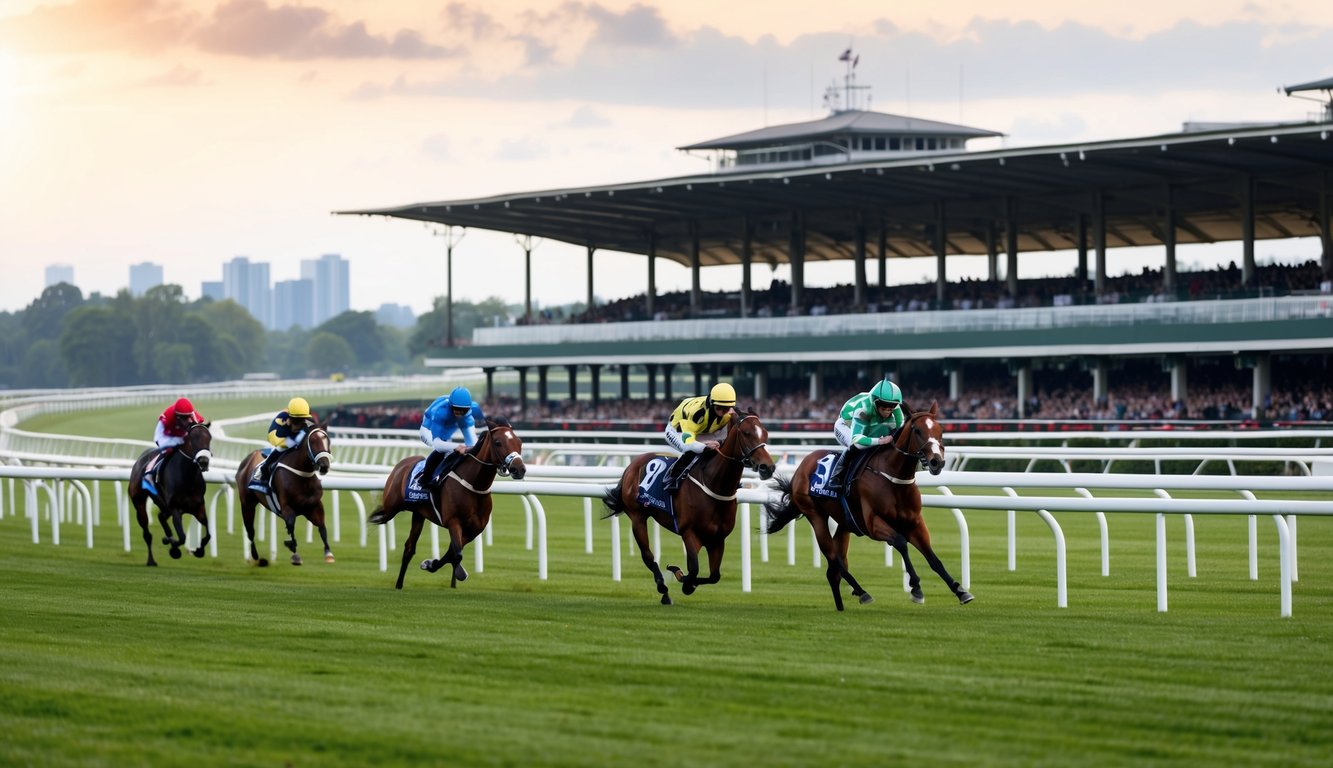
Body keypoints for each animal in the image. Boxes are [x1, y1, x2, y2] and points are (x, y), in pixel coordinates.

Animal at [126, 424, 213, 568]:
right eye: (193, 438)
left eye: (209, 438)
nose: (204, 461)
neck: (187, 479)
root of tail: (140, 459)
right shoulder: (175, 508)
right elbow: (182, 537)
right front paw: (172, 546)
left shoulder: (198, 507)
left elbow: (208, 533)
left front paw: (199, 550)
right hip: (139, 503)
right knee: (147, 533)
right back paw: (151, 560)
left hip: (163, 505)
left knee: (161, 516)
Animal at [234, 424, 330, 568]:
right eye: (312, 441)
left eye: (328, 441)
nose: (324, 466)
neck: (302, 475)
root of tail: (247, 459)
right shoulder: (286, 506)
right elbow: (290, 524)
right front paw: (294, 552)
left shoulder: (314, 506)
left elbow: (322, 527)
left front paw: (328, 553)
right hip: (247, 504)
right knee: (250, 530)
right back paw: (256, 557)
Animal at [373, 416, 527, 592]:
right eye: (498, 442)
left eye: (519, 442)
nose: (519, 469)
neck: (474, 484)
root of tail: (402, 464)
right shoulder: (453, 521)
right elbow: (457, 553)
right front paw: (455, 572)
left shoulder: (474, 530)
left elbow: (451, 552)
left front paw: (432, 565)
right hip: (392, 505)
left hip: (418, 514)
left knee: (409, 547)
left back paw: (399, 584)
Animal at [602, 410, 778, 602]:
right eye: (746, 433)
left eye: (765, 433)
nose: (767, 467)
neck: (713, 483)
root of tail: (632, 465)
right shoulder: (689, 532)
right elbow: (693, 568)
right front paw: (679, 575)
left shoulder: (717, 539)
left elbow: (714, 576)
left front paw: (687, 583)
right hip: (637, 517)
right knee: (647, 555)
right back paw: (663, 588)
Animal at [767, 402, 975, 613]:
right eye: (917, 430)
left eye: (941, 430)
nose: (937, 462)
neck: (893, 477)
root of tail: (801, 468)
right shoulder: (873, 525)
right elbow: (901, 543)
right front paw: (916, 587)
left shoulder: (915, 524)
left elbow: (933, 558)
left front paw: (960, 590)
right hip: (815, 515)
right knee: (834, 559)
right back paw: (862, 592)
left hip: (845, 524)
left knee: (834, 569)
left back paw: (842, 605)